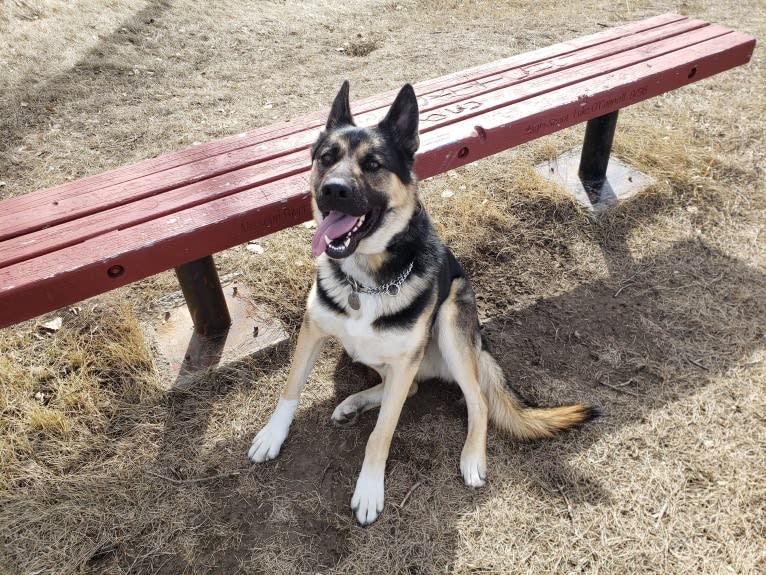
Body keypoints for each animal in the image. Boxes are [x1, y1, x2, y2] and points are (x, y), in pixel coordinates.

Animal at [249, 81, 604, 528]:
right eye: (327, 157)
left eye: (374, 164)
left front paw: (369, 489)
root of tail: (480, 341)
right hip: (373, 354)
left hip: (450, 323)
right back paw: (353, 403)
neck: (366, 279)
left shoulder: (404, 360)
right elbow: (290, 389)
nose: (333, 190)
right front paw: (272, 436)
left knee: (476, 401)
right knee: (411, 387)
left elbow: (381, 434)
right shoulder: (313, 331)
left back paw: (472, 457)